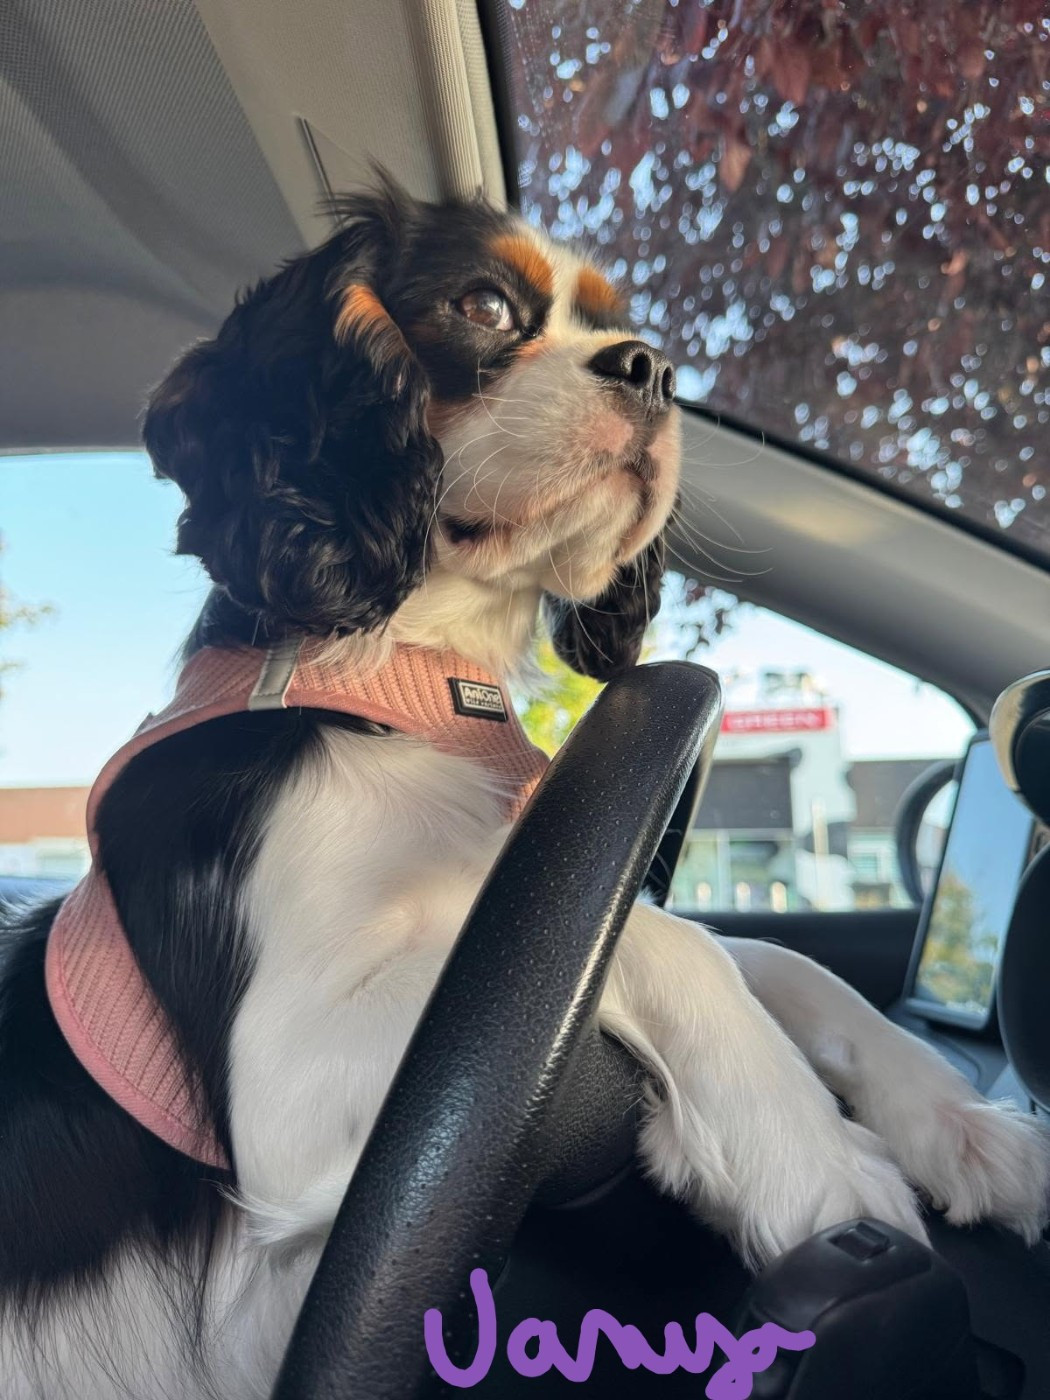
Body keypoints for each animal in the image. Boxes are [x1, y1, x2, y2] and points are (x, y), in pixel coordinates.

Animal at [2, 178, 1048, 1399]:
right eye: (485, 305)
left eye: (616, 322)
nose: (652, 367)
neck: (403, 679)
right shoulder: (290, 1082)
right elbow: (674, 946)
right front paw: (818, 1165)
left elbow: (777, 959)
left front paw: (962, 1122)